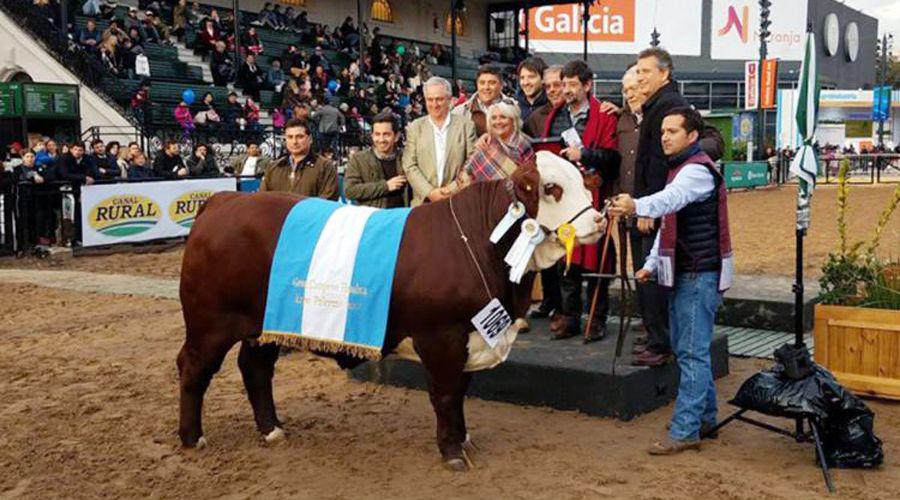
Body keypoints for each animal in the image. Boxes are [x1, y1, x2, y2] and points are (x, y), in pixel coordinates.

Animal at [177, 151, 605, 471]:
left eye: (583, 183)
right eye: (551, 188)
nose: (599, 222)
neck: (478, 241)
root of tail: (224, 200)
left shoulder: (472, 336)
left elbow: (461, 392)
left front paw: (464, 439)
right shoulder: (441, 338)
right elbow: (446, 395)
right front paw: (451, 451)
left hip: (263, 326)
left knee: (255, 369)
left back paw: (271, 429)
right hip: (208, 323)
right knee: (193, 369)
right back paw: (191, 437)